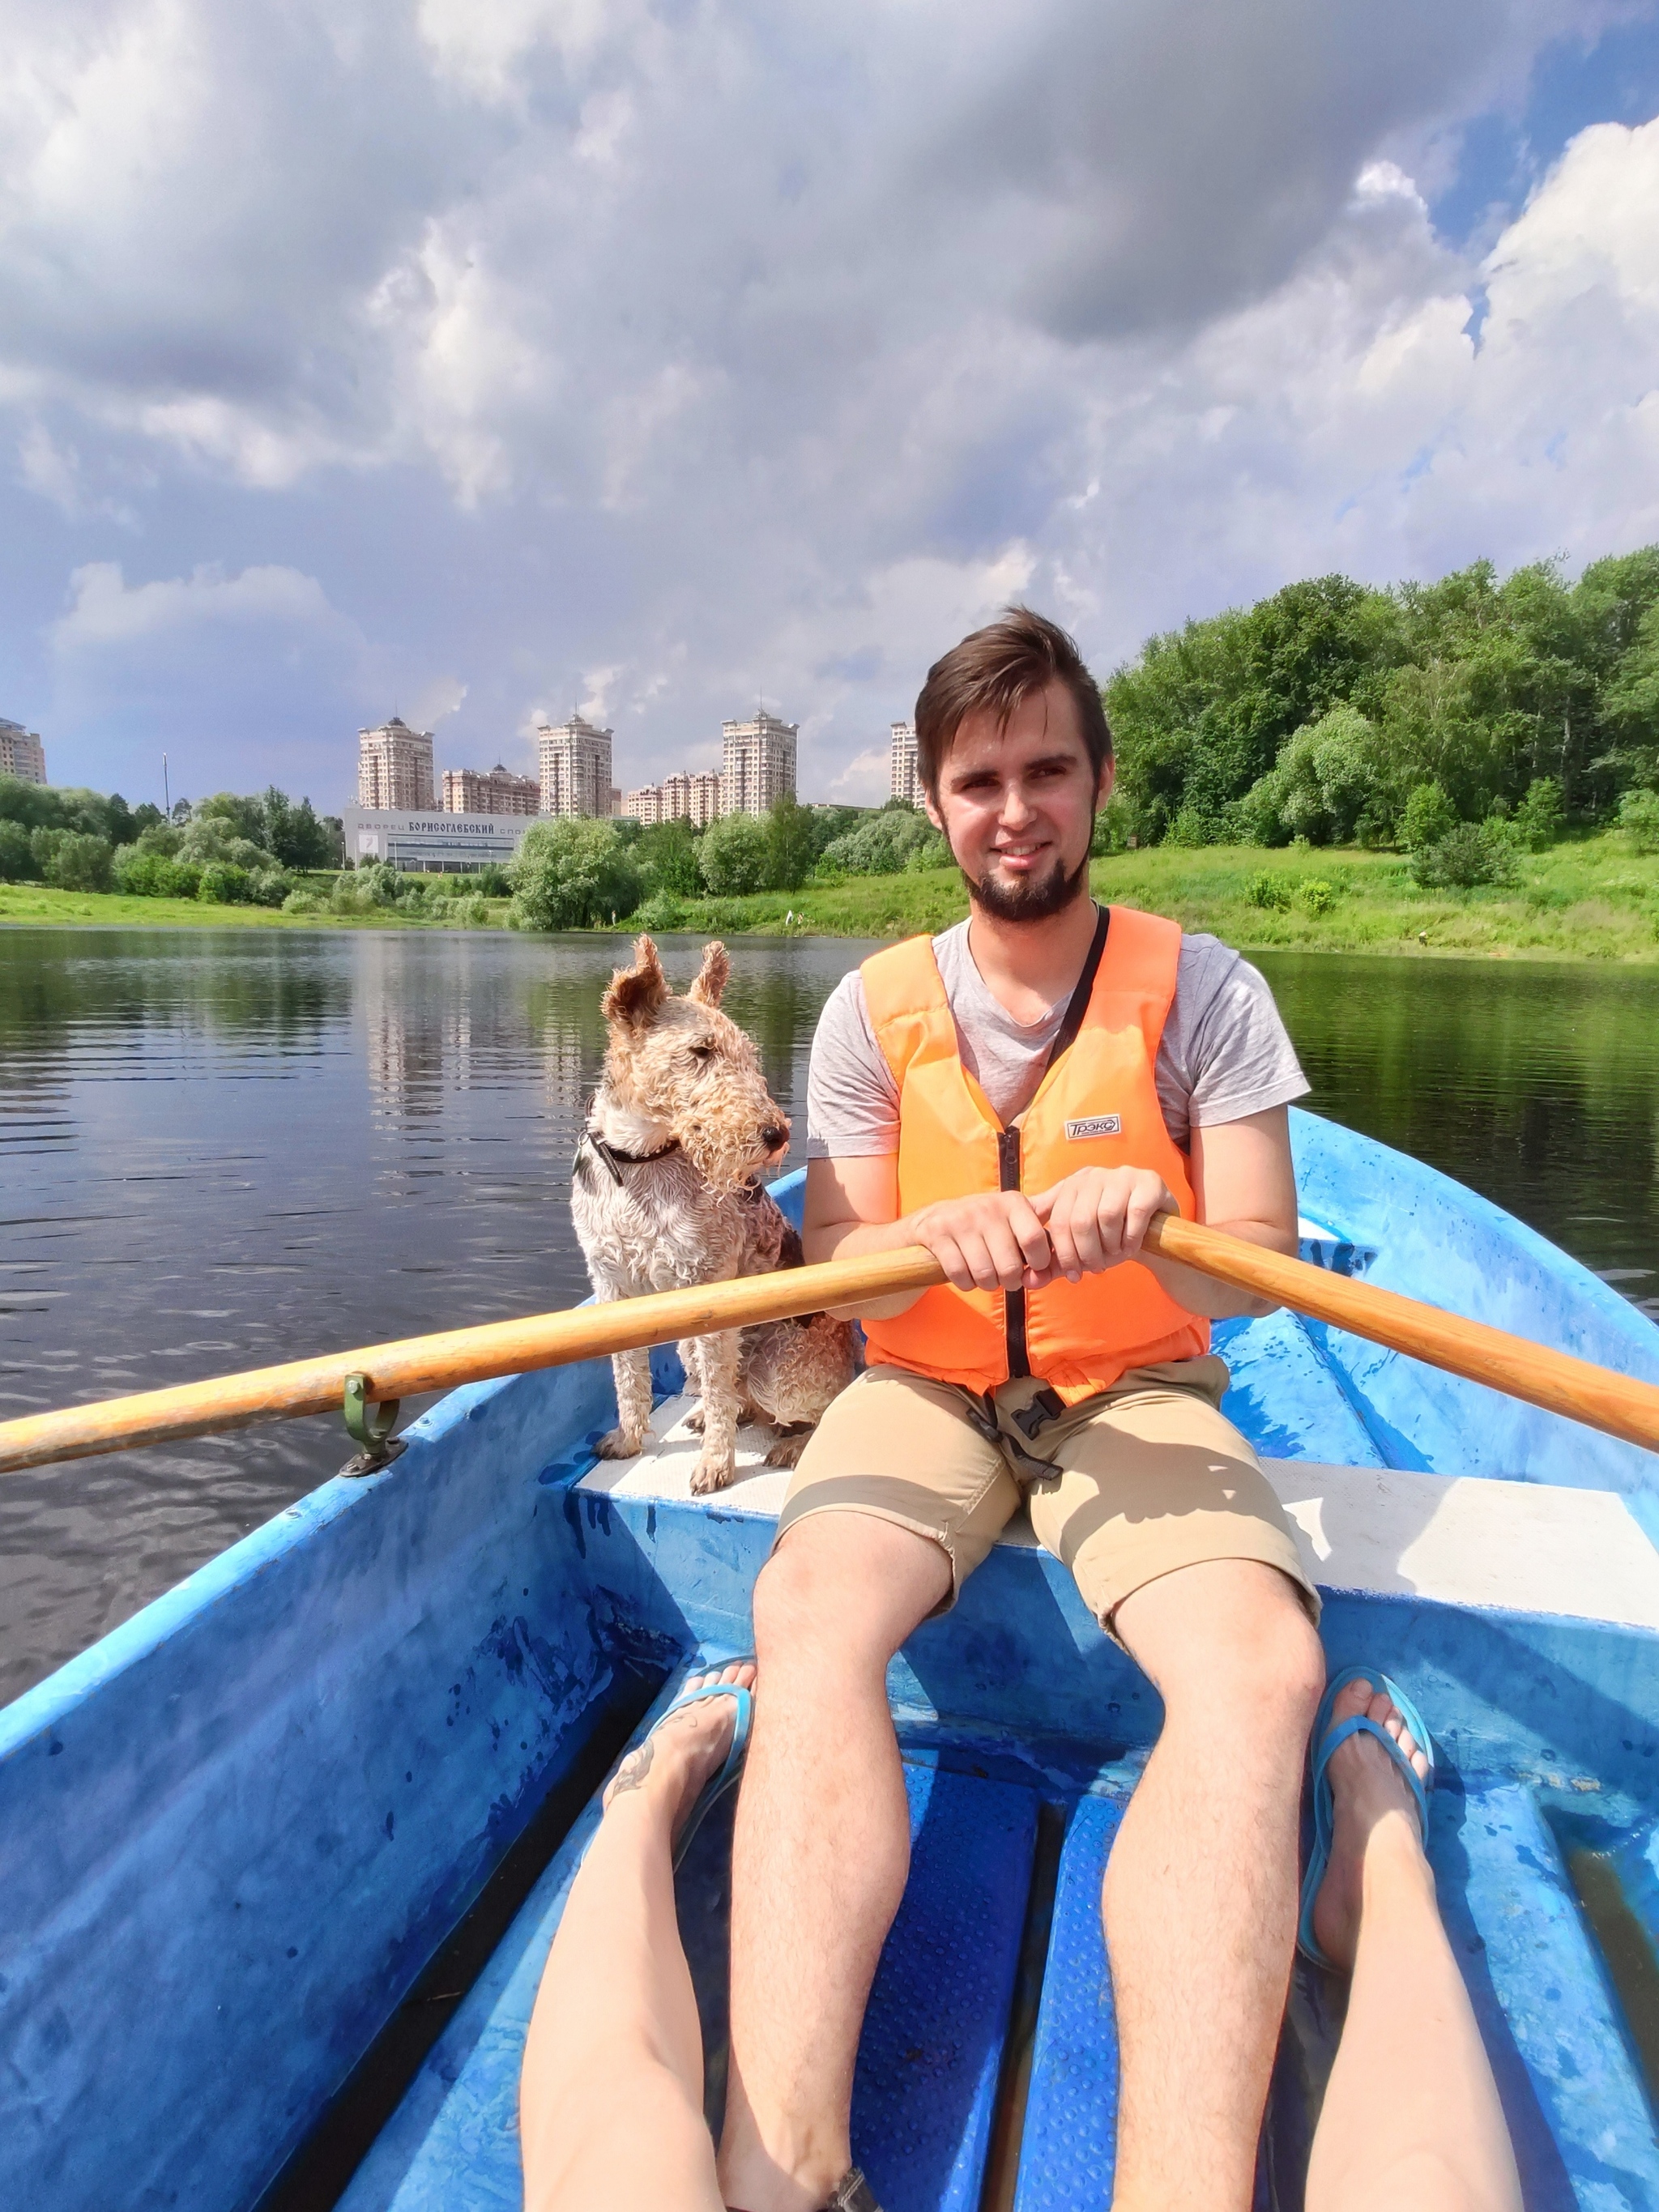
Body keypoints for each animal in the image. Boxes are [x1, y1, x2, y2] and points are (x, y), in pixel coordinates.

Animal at [570, 924, 858, 1495]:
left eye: (748, 1053)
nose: (775, 1133)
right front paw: (628, 1438)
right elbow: (627, 1375)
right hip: (689, 1346)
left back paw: (788, 1444)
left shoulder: (707, 1284)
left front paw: (714, 1465)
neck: (641, 1161)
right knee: (732, 1394)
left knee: (809, 1411)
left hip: (779, 1366)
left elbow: (718, 1390)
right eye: (700, 1050)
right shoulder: (611, 1285)